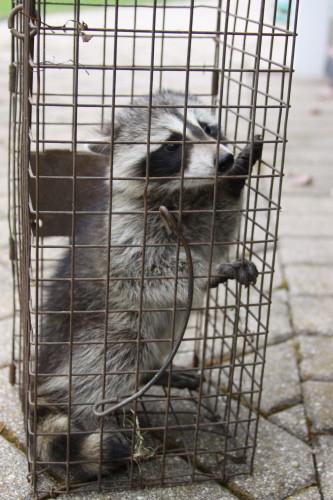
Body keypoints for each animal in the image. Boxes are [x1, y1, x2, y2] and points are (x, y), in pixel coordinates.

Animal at [34, 91, 262, 480]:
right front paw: (206, 271)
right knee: (119, 350)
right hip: (86, 339)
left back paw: (157, 374)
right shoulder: (127, 227)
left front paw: (234, 180)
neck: (180, 193)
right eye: (171, 144)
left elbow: (214, 233)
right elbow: (140, 271)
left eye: (207, 128)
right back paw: (96, 412)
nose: (225, 159)